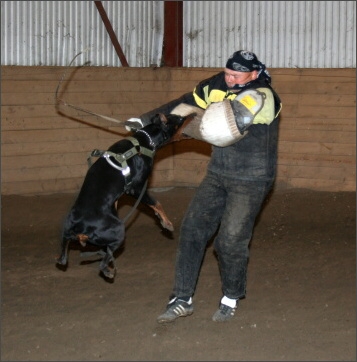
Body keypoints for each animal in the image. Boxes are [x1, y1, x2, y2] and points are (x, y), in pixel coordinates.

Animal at [56, 112, 193, 280]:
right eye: (179, 119)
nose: (194, 114)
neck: (144, 141)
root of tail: (78, 225)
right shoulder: (136, 188)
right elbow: (156, 202)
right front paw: (166, 222)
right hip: (119, 231)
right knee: (104, 261)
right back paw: (108, 270)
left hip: (66, 235)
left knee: (63, 259)